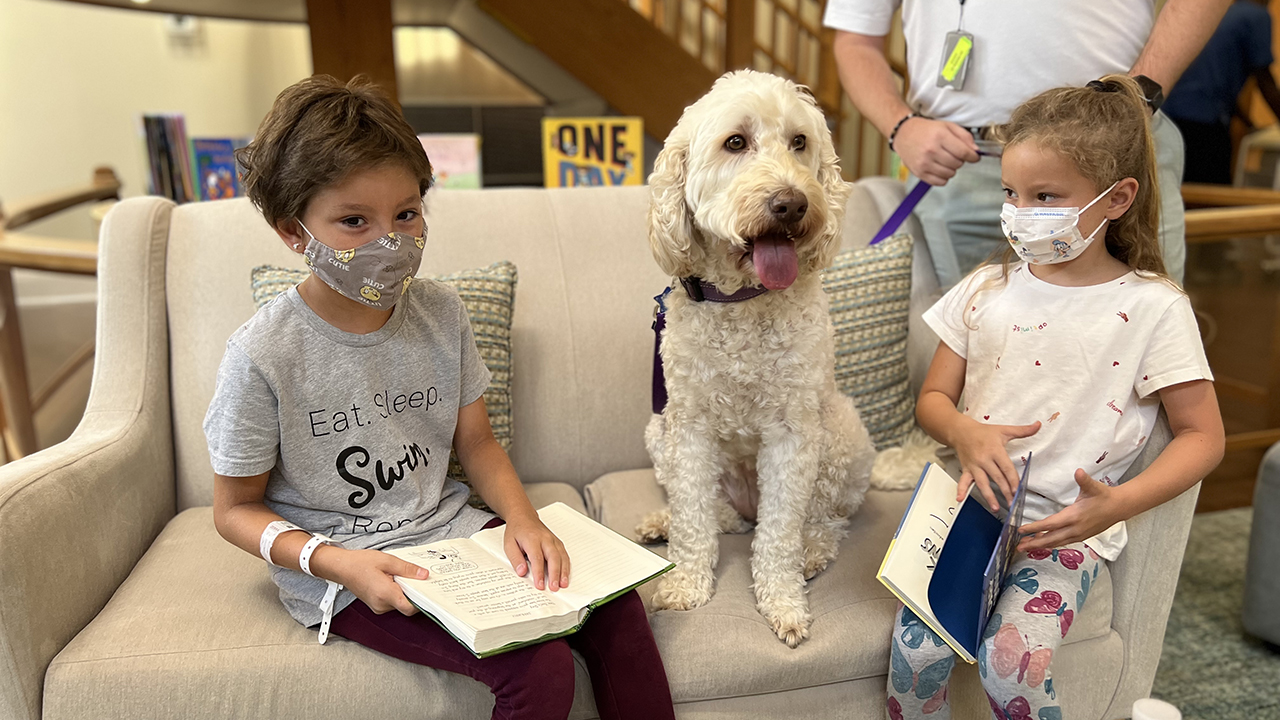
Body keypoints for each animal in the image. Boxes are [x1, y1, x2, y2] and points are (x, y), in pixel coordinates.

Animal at [640, 70, 880, 648]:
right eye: (735, 142)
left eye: (800, 142)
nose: (792, 204)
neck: (743, 299)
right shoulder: (689, 427)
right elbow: (694, 518)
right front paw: (686, 583)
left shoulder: (793, 436)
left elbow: (778, 535)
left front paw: (784, 603)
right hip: (658, 429)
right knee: (717, 514)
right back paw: (667, 521)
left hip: (841, 434)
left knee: (823, 520)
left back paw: (811, 552)